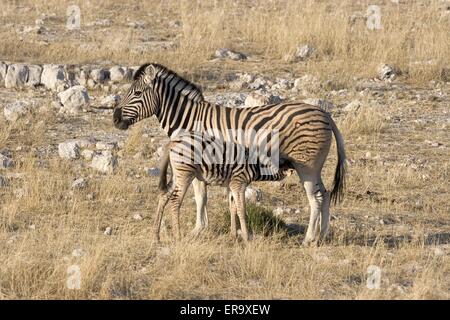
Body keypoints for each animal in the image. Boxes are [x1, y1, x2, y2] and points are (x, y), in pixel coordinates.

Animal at [114, 63, 346, 245]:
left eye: (136, 94)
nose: (115, 119)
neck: (190, 119)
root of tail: (324, 113)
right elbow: (217, 199)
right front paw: (218, 231)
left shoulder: (198, 162)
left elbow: (201, 197)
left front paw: (197, 230)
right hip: (312, 166)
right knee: (325, 194)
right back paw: (322, 236)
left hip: (306, 165)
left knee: (315, 197)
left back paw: (309, 238)